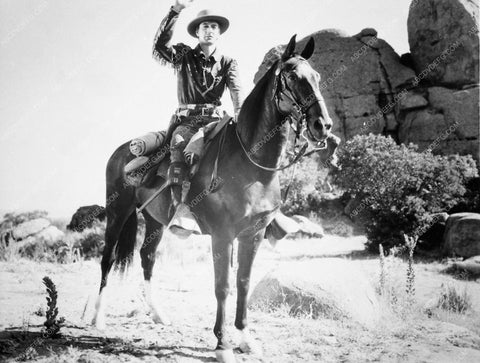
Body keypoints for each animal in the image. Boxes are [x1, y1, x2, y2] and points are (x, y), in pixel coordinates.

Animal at [94, 34, 334, 363]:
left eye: (318, 77)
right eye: (294, 77)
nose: (323, 125)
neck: (250, 162)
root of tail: (120, 151)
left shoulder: (253, 234)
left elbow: (243, 283)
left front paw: (245, 339)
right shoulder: (222, 234)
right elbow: (222, 286)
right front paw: (222, 345)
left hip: (155, 220)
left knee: (147, 257)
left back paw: (158, 315)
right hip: (118, 211)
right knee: (107, 259)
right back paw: (96, 318)